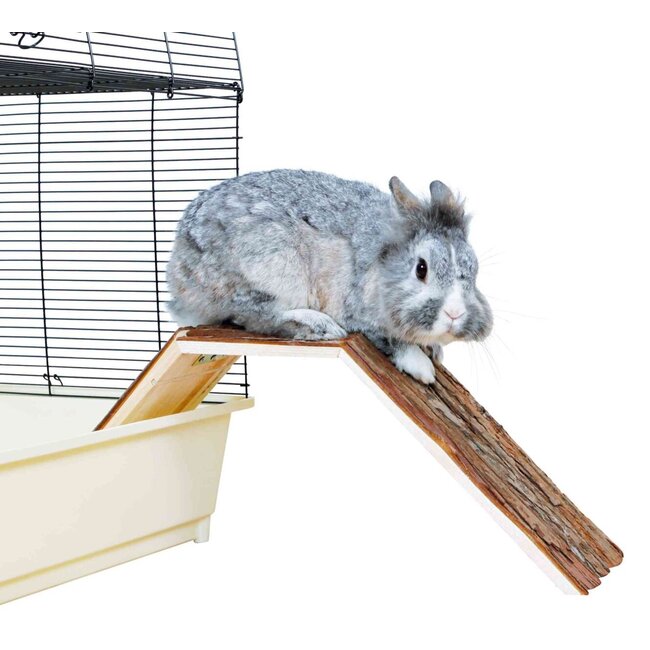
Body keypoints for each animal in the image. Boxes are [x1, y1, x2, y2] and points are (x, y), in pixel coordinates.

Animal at [166, 169, 493, 384]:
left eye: (474, 269)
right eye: (421, 268)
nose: (455, 314)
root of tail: (180, 272)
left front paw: (434, 350)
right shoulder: (359, 315)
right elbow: (389, 339)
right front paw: (422, 368)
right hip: (275, 266)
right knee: (258, 316)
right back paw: (320, 326)